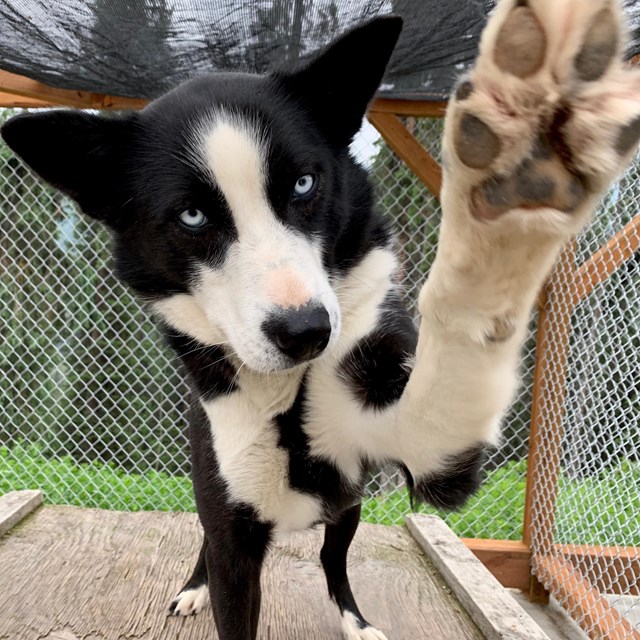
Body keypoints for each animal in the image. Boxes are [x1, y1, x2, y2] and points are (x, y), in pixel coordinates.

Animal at [3, 2, 640, 636]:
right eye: (191, 216)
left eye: (304, 183)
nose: (305, 333)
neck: (289, 392)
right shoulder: (233, 532)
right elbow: (223, 558)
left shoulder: (428, 448)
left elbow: (452, 355)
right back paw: (193, 588)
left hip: (349, 506)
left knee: (335, 557)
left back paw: (354, 619)